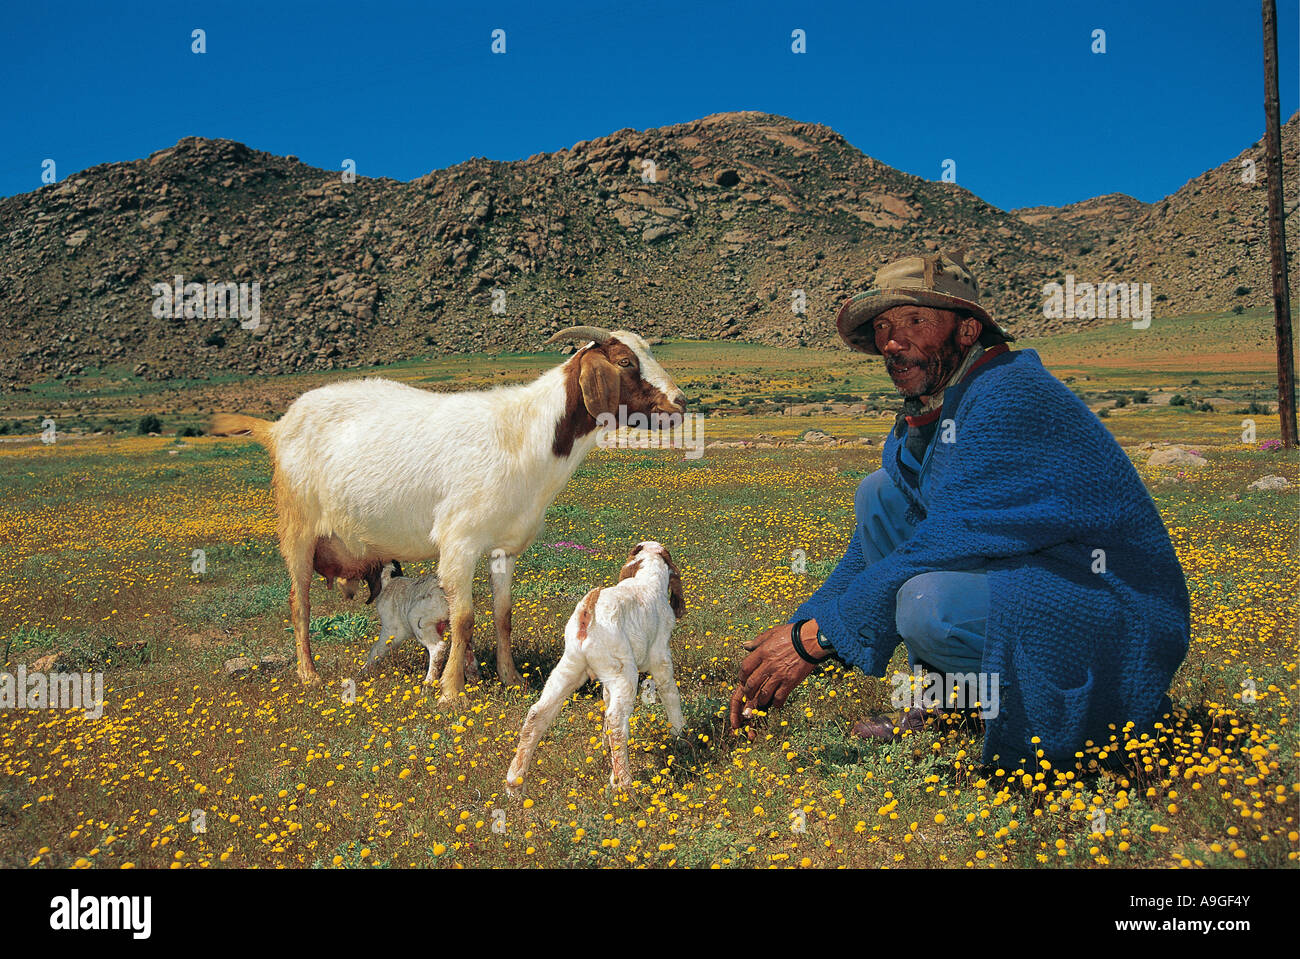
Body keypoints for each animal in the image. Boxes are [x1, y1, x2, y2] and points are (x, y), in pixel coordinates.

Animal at [504, 540, 691, 795]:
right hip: (624, 673)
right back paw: (624, 784)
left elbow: (605, 702)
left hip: (569, 668)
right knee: (617, 720)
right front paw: (681, 737)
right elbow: (671, 695)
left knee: (537, 713)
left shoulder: (607, 680)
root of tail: (586, 615)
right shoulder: (661, 658)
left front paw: (604, 747)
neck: (646, 579)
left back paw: (514, 782)